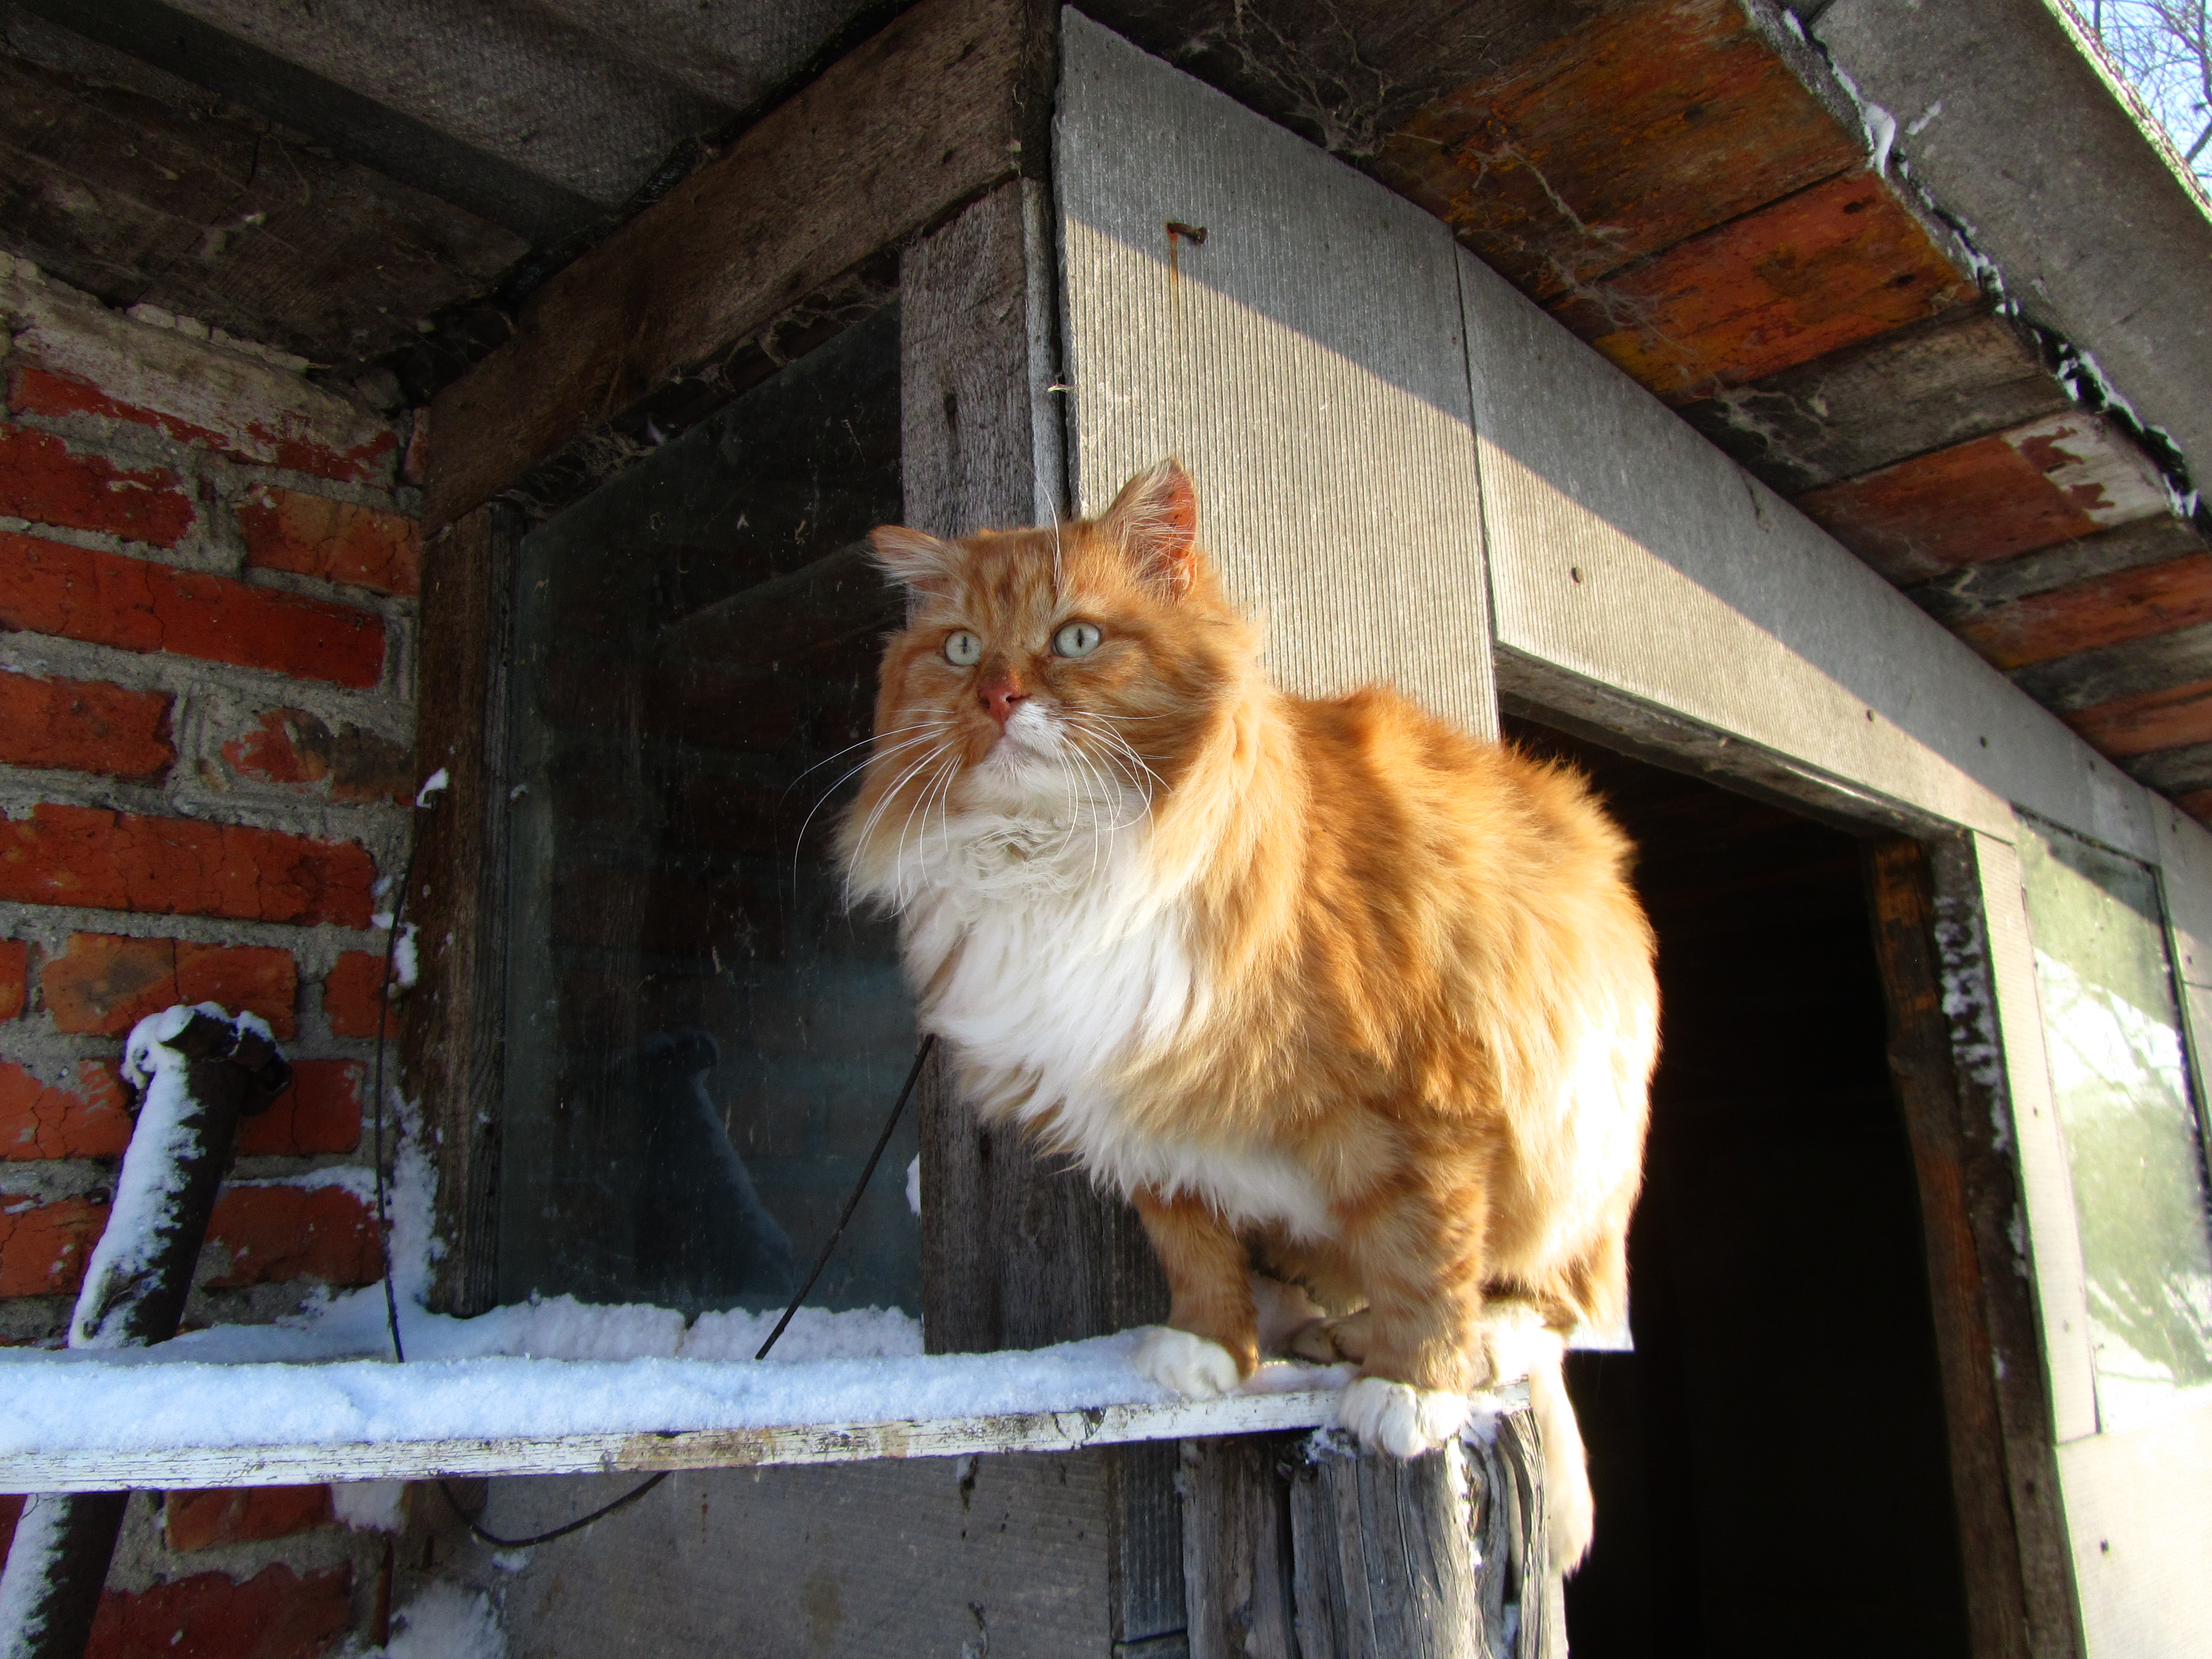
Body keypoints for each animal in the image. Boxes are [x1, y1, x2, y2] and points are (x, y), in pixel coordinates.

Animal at [836, 464, 1654, 1575]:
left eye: (1076, 638)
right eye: (961, 648)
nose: (998, 696)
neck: (1065, 859)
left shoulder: (1429, 1108)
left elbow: (1429, 1255)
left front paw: (1414, 1387)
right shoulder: (1150, 1112)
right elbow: (1193, 1246)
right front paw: (1213, 1350)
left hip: (1569, 1159)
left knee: (1562, 1308)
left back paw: (1465, 1343)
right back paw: (1309, 1326)